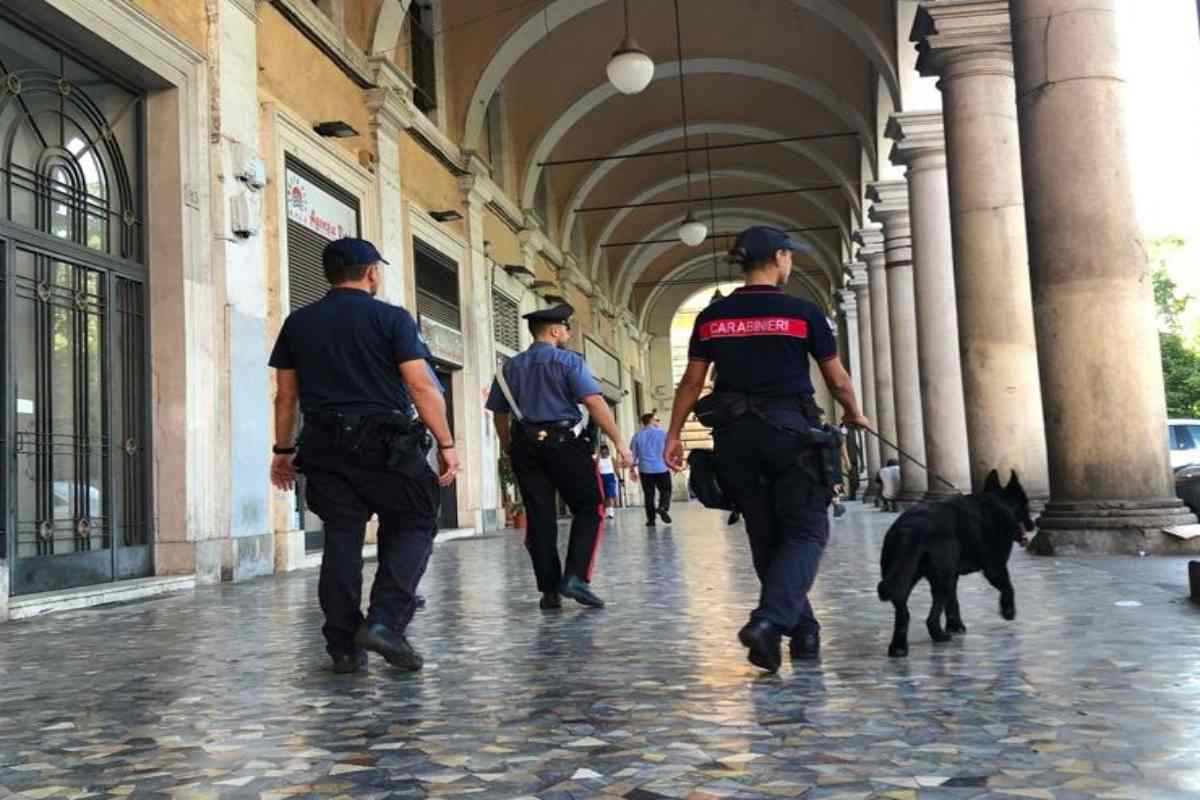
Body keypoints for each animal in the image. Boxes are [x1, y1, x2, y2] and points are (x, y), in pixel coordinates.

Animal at [270, 237, 456, 676]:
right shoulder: (405, 330)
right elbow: (421, 382)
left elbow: (285, 391)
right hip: (406, 488)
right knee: (413, 529)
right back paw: (385, 636)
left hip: (333, 484)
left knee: (342, 543)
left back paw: (347, 649)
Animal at [487, 303, 638, 609]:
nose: (567, 333)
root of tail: (541, 438)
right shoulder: (578, 369)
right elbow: (594, 401)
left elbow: (498, 411)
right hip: (571, 468)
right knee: (590, 508)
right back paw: (575, 587)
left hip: (531, 470)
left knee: (540, 525)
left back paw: (550, 594)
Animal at [878, 470, 1036, 657]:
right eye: (1026, 505)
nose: (1033, 524)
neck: (999, 504)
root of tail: (910, 527)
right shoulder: (995, 568)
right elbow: (1008, 587)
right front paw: (1008, 611)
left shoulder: (953, 576)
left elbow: (953, 603)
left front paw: (955, 626)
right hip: (940, 582)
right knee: (931, 617)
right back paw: (938, 636)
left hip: (905, 577)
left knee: (903, 611)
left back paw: (899, 647)